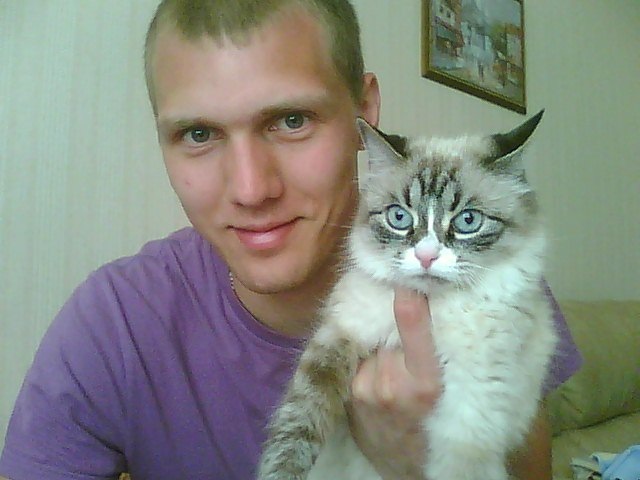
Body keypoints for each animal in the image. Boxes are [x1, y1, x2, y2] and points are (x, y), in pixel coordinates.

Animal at [258, 111, 557, 480]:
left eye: (468, 221)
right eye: (399, 217)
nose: (426, 257)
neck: (430, 307)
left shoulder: (476, 395)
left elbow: (460, 464)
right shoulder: (340, 335)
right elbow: (298, 422)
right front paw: (281, 471)